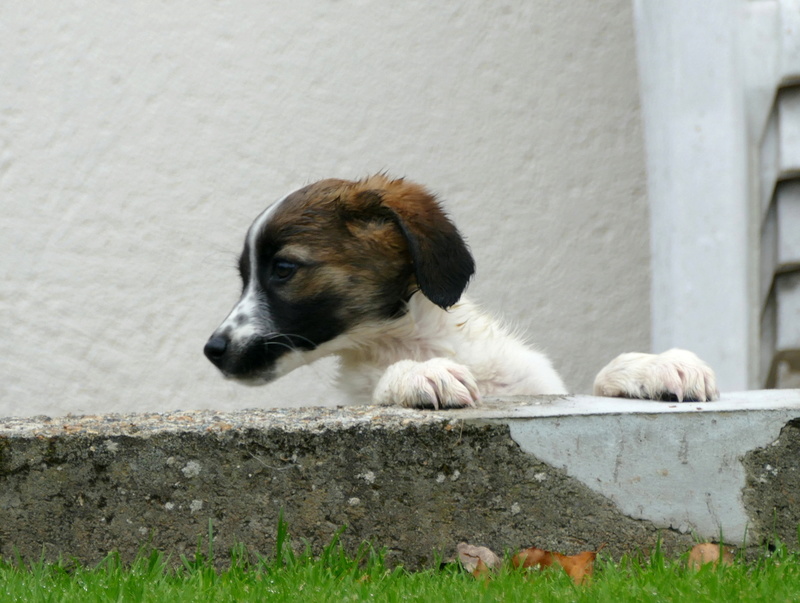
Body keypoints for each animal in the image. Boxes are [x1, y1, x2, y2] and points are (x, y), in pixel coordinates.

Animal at [202, 176, 720, 410]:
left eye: (283, 269)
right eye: (244, 275)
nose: (213, 349)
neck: (416, 339)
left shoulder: (541, 389)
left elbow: (596, 379)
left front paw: (651, 366)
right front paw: (416, 374)